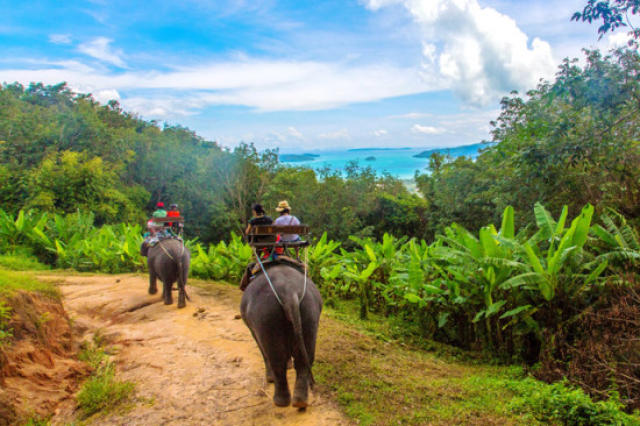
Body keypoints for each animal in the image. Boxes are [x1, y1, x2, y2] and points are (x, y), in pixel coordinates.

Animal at [240, 264, 322, 408]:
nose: (241, 285)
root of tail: (289, 292)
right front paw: (289, 365)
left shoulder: (253, 327)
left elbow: (261, 348)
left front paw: (270, 378)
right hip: (310, 311)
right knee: (304, 358)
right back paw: (300, 401)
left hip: (266, 315)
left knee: (276, 359)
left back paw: (280, 401)